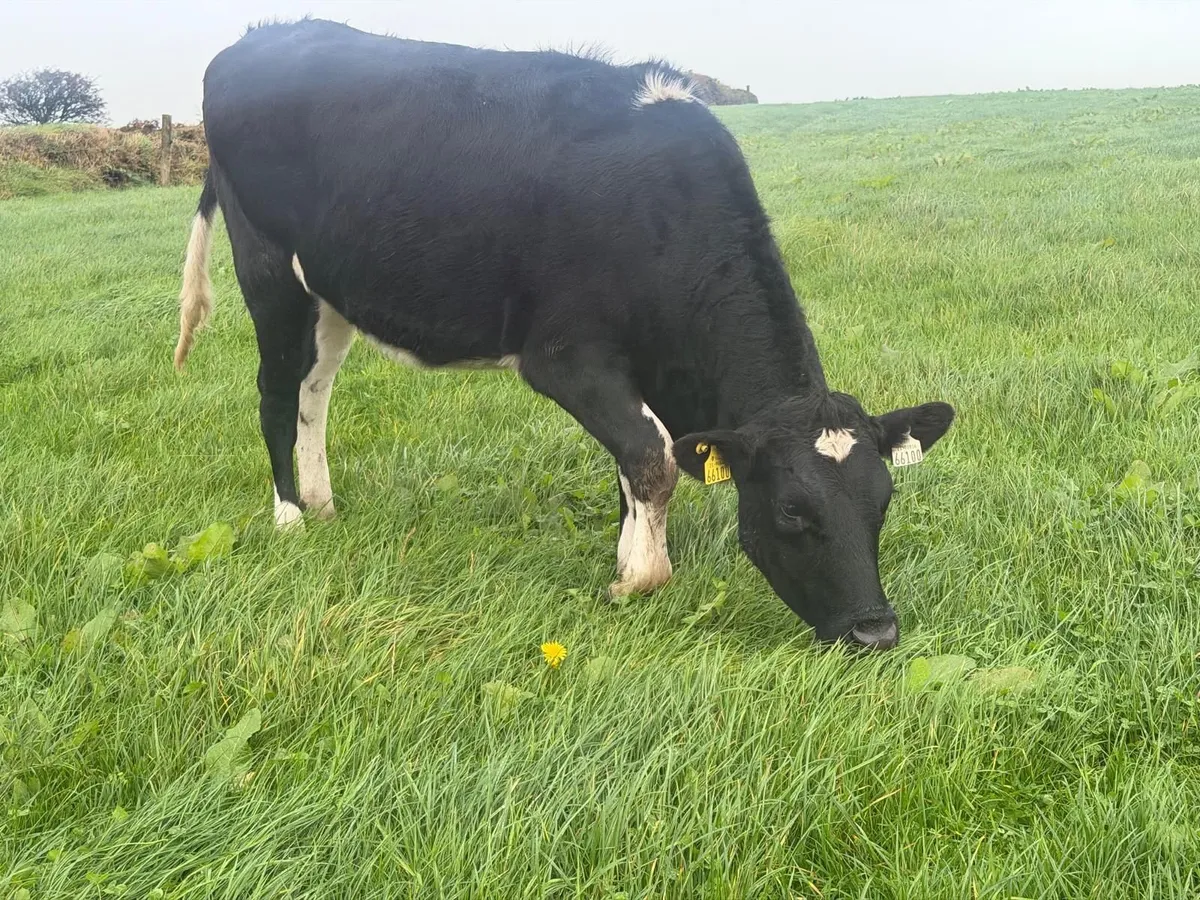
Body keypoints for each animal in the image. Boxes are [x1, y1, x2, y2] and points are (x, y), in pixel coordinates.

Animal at [174, 19, 955, 650]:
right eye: (794, 512)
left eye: (882, 501)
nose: (876, 631)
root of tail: (260, 35)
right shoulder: (563, 358)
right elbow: (651, 458)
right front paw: (638, 577)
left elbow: (637, 462)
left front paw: (625, 547)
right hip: (268, 269)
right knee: (277, 391)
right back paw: (289, 517)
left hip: (329, 288)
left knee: (315, 389)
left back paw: (323, 503)